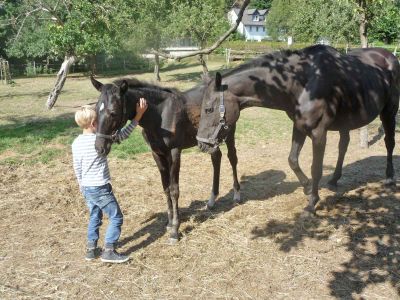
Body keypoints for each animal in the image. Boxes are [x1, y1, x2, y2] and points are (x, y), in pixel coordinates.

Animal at [90, 76, 241, 243]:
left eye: (113, 113)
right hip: (210, 141)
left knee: (232, 157)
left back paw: (237, 195)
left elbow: (174, 190)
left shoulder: (174, 152)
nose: (99, 148)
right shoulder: (157, 154)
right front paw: (169, 223)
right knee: (216, 158)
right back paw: (212, 201)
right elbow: (166, 188)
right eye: (95, 110)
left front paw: (175, 230)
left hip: (228, 133)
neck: (160, 115)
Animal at [197, 44, 400, 213]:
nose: (202, 144)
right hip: (346, 121)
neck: (302, 82)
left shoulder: (319, 133)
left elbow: (316, 167)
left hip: (389, 111)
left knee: (389, 142)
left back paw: (389, 177)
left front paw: (312, 202)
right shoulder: (299, 127)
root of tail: (389, 56)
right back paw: (334, 179)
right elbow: (292, 160)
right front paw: (308, 187)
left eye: (208, 109)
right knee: (344, 145)